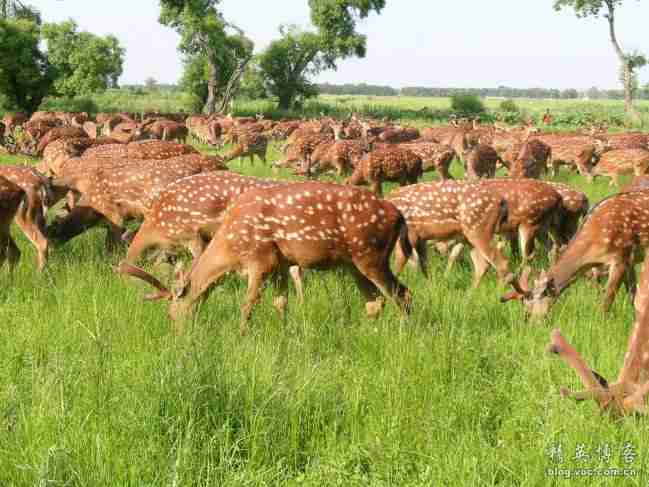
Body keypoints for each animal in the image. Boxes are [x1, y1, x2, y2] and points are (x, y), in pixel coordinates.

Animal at [120, 181, 410, 334]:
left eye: (171, 314)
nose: (176, 334)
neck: (230, 247)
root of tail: (398, 215)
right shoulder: (281, 264)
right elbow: (280, 303)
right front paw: (284, 332)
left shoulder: (261, 259)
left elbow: (248, 304)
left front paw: (241, 335)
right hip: (353, 264)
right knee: (374, 302)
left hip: (370, 254)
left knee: (402, 293)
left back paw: (403, 333)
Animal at [384, 183, 512, 290]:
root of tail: (502, 201)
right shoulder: (421, 238)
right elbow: (425, 266)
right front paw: (431, 289)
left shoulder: (409, 233)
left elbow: (397, 267)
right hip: (470, 236)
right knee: (482, 265)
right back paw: (469, 294)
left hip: (479, 230)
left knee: (502, 263)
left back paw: (497, 293)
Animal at [504, 189, 649, 318]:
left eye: (527, 309)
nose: (530, 323)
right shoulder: (629, 260)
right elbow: (632, 295)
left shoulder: (621, 256)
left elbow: (607, 300)